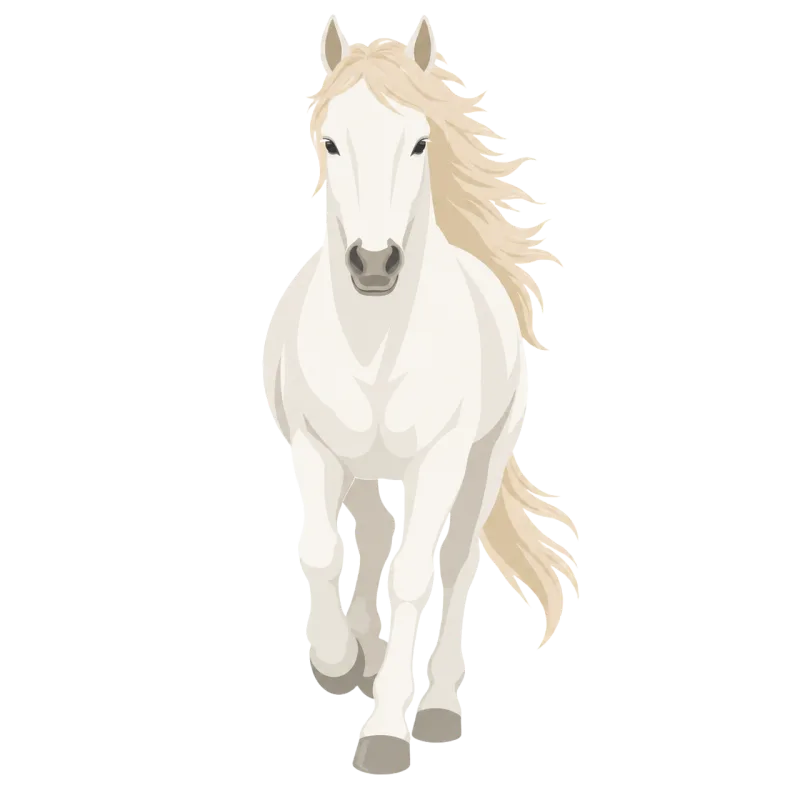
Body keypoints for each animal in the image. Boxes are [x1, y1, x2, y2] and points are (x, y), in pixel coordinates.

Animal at [263, 16, 580, 776]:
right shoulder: (315, 451)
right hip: (359, 465)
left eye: (419, 142)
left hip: (479, 464)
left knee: (457, 562)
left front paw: (385, 733)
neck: (375, 344)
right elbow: (322, 552)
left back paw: (433, 705)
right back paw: (367, 657)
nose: (375, 265)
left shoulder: (437, 462)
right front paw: (338, 659)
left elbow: (415, 576)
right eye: (330, 141)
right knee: (373, 532)